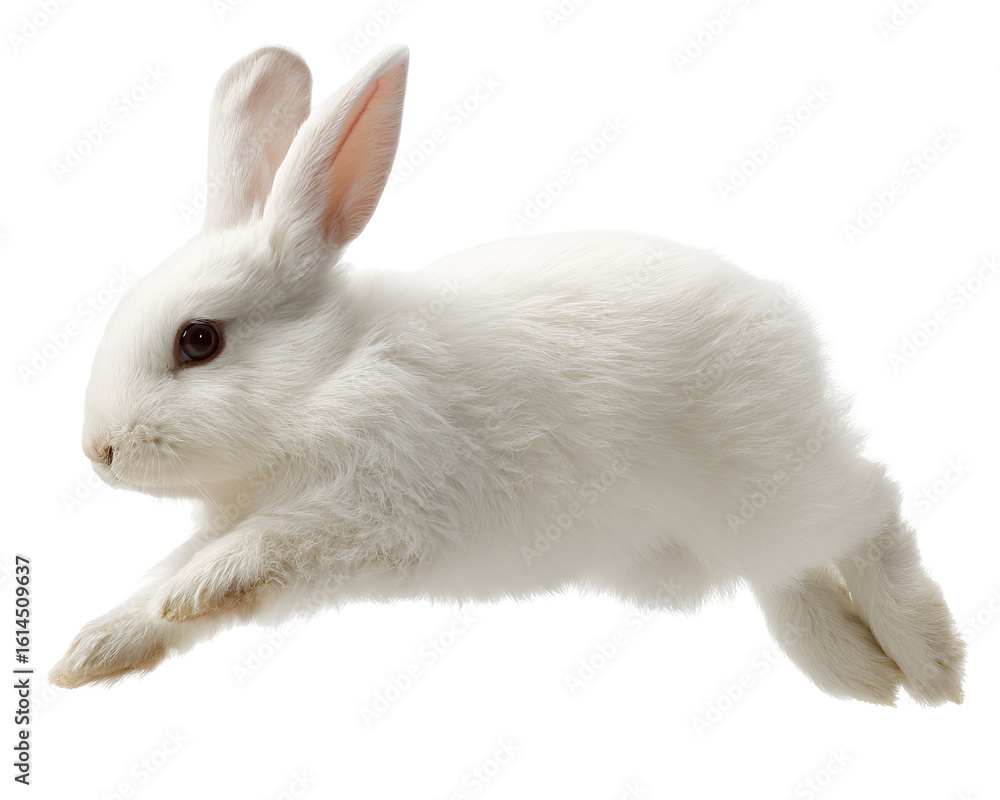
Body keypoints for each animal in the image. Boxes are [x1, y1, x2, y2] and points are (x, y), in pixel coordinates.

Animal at [50, 44, 965, 706]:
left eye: (198, 340)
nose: (99, 452)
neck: (326, 378)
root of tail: (781, 320)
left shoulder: (378, 510)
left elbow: (266, 546)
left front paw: (195, 590)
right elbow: (165, 589)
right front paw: (95, 651)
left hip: (772, 481)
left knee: (872, 513)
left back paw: (930, 665)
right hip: (735, 528)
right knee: (795, 573)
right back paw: (859, 672)